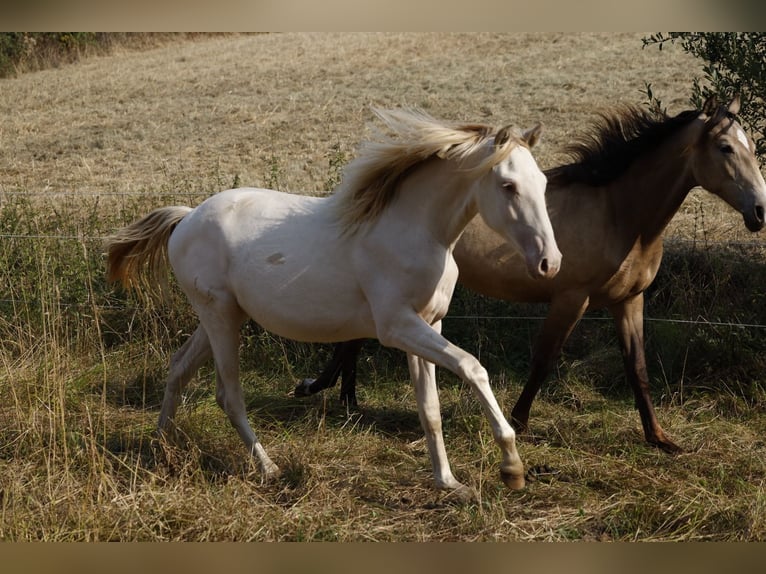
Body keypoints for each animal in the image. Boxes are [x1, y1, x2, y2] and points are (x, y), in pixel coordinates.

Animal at [105, 108, 562, 497]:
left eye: (542, 184)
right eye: (508, 186)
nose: (550, 263)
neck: (415, 231)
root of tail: (186, 217)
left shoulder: (429, 325)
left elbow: (429, 408)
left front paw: (449, 483)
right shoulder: (397, 327)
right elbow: (472, 367)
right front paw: (512, 466)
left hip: (222, 316)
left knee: (179, 368)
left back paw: (160, 449)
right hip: (219, 317)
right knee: (228, 394)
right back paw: (268, 468)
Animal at [296, 96, 766, 454]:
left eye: (750, 145)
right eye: (726, 147)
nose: (760, 211)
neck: (618, 214)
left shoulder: (628, 301)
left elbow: (638, 367)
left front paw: (660, 438)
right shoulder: (571, 298)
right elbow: (544, 359)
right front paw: (518, 423)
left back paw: (344, 396)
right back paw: (332, 393)